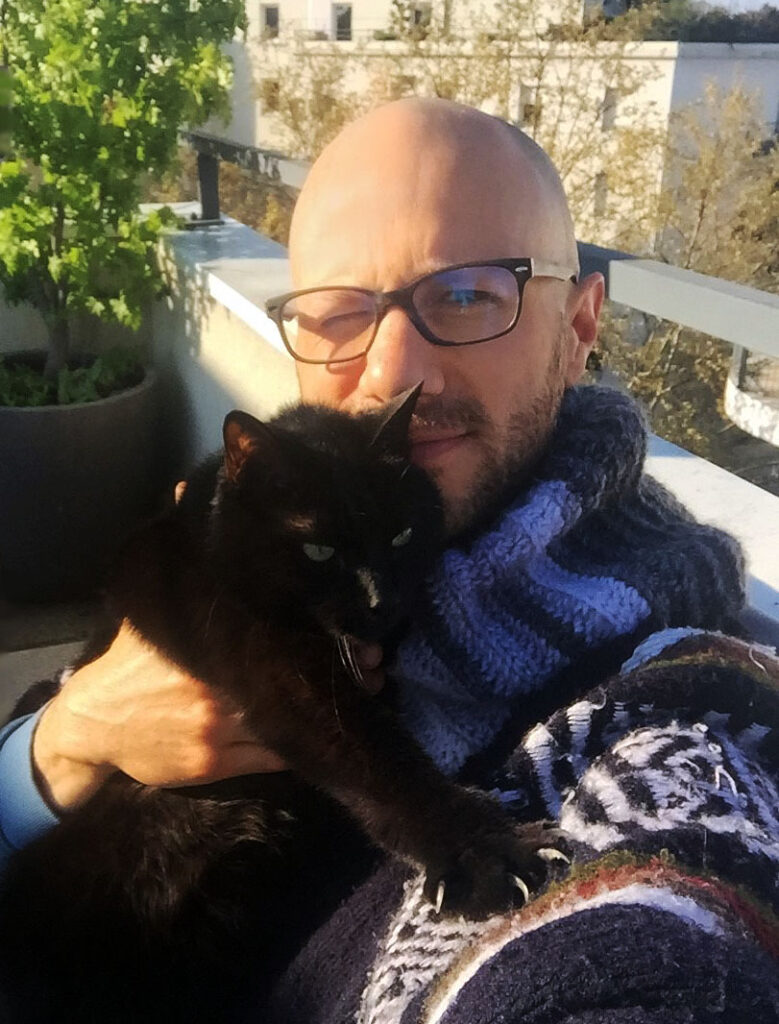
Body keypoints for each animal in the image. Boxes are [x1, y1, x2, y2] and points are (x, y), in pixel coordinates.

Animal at [1, 385, 552, 1024]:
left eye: (400, 535)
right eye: (318, 549)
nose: (380, 600)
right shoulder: (287, 681)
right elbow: (385, 763)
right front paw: (489, 855)